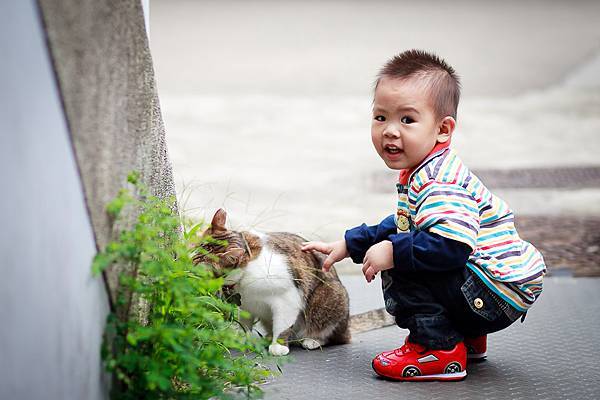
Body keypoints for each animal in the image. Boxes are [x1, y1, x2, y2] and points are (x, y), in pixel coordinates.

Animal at [192, 209, 352, 356]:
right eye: (194, 251)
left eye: (201, 267)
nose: (188, 265)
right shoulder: (245, 305)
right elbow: (244, 323)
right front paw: (242, 339)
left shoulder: (288, 298)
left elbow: (282, 325)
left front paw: (278, 346)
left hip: (330, 297)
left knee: (331, 333)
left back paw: (312, 340)